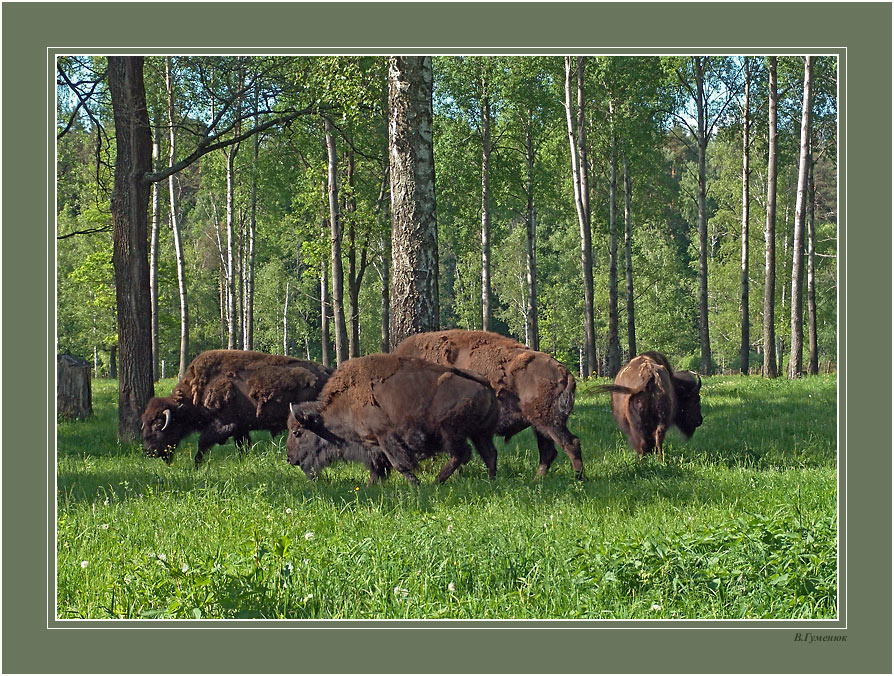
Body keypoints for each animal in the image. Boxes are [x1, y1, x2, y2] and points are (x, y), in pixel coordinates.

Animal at [142, 350, 332, 466]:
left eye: (159, 425)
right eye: (145, 424)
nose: (149, 451)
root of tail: (327, 372)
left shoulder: (224, 424)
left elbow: (202, 443)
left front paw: (196, 465)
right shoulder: (241, 428)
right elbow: (243, 446)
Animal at [286, 353, 499, 486]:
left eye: (297, 432)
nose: (290, 459)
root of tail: (484, 382)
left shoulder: (385, 437)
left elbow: (400, 464)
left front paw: (416, 486)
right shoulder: (373, 446)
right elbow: (377, 468)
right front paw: (370, 487)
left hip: (450, 432)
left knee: (461, 454)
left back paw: (436, 482)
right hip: (480, 433)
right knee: (489, 454)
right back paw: (491, 481)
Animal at [393, 329, 584, 479]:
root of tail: (564, 371)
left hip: (549, 422)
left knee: (570, 444)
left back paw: (579, 479)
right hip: (539, 425)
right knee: (548, 451)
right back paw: (538, 480)